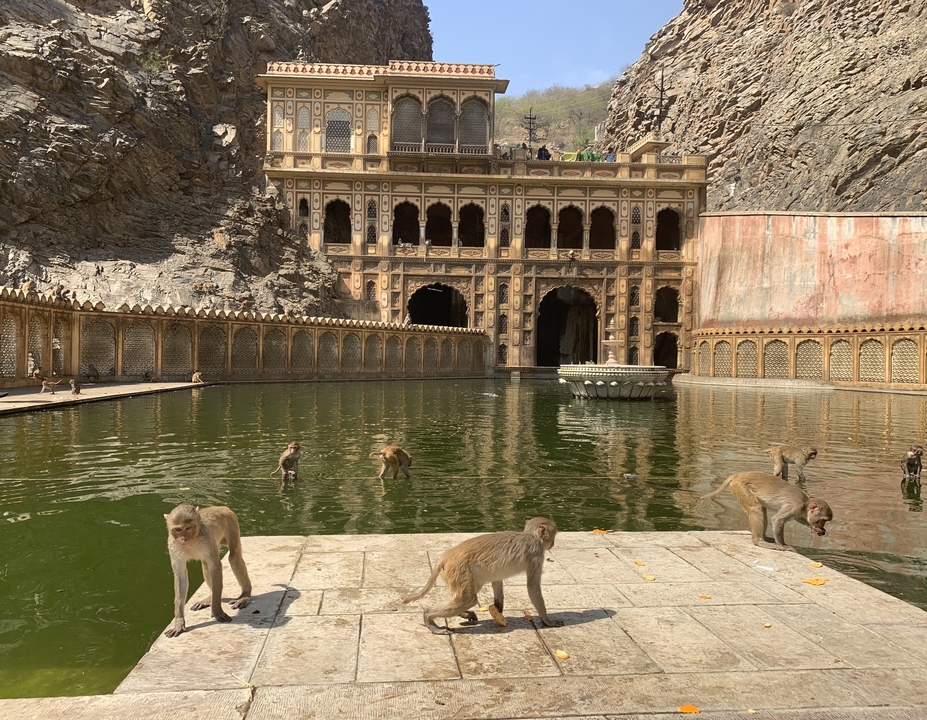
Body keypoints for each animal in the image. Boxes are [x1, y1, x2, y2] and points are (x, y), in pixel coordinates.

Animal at [163, 504, 252, 638]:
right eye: (178, 529)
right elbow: (181, 576)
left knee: (234, 557)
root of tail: (221, 507)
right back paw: (210, 597)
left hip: (232, 523)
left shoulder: (207, 540)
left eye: (188, 528)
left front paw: (217, 611)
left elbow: (215, 567)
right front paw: (179, 622)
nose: (183, 538)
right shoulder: (173, 545)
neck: (191, 541)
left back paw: (245, 595)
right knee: (205, 563)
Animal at [403, 517, 564, 635]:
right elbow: (532, 587)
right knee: (468, 599)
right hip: (459, 570)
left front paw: (498, 611)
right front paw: (547, 621)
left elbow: (497, 581)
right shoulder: (536, 554)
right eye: (553, 537)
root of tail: (448, 554)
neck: (531, 535)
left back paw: (462, 614)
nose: (553, 544)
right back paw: (428, 616)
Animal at [700, 471, 833, 552]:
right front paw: (783, 545)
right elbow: (777, 520)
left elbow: (799, 518)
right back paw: (759, 541)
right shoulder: (794, 506)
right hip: (740, 487)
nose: (821, 526)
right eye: (822, 520)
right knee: (756, 508)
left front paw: (815, 528)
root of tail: (738, 475)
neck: (805, 503)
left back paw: (764, 538)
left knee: (762, 509)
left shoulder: (799, 511)